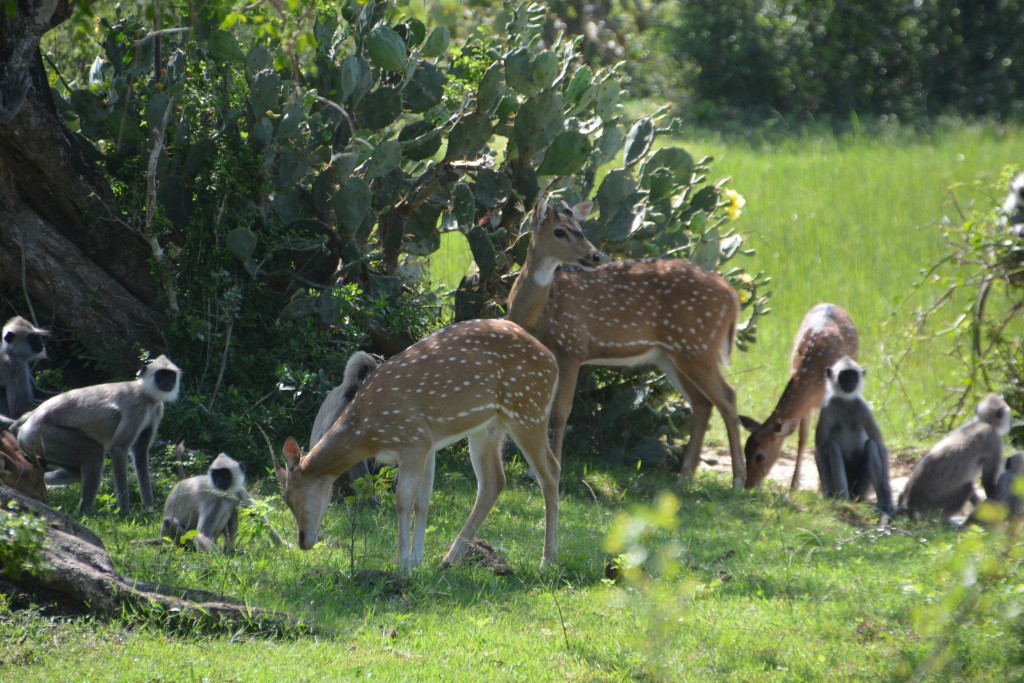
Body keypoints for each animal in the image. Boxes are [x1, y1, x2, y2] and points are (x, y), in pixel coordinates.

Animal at [274, 319, 561, 573]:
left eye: (290, 498)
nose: (303, 541)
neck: (369, 432)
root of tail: (553, 360)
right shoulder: (429, 444)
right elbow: (423, 501)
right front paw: (417, 561)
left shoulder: (412, 440)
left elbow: (403, 499)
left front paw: (402, 564)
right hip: (488, 428)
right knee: (494, 482)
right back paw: (450, 558)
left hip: (528, 407)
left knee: (550, 471)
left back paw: (547, 560)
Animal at [506, 197, 747, 488]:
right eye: (559, 231)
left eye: (581, 229)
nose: (596, 256)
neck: (537, 316)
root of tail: (731, 295)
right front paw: (533, 471)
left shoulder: (572, 348)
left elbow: (561, 413)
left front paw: (554, 470)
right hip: (671, 354)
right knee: (702, 403)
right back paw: (684, 475)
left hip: (698, 346)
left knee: (727, 397)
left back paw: (739, 480)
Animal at [739, 303, 859, 490]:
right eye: (745, 450)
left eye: (760, 456)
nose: (749, 485)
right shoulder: (807, 406)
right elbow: (803, 438)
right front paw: (794, 485)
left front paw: (821, 487)